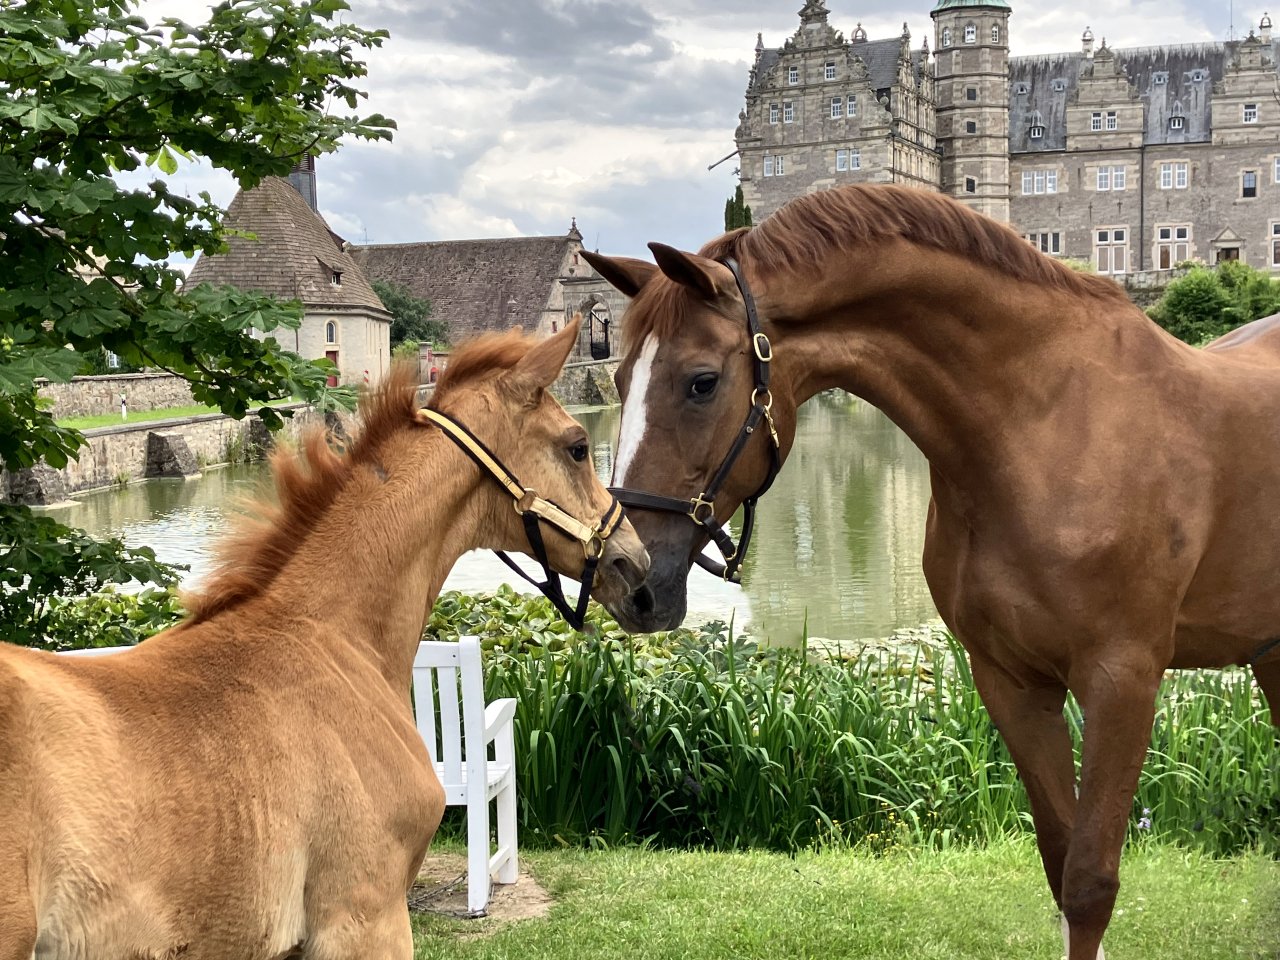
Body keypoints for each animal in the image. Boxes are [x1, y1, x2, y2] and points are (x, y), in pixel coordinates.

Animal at [586, 184, 1280, 957]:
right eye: (618, 378)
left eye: (701, 382)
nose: (626, 576)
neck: (1049, 428)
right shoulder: (1011, 682)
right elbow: (1059, 863)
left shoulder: (1121, 683)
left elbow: (1090, 882)